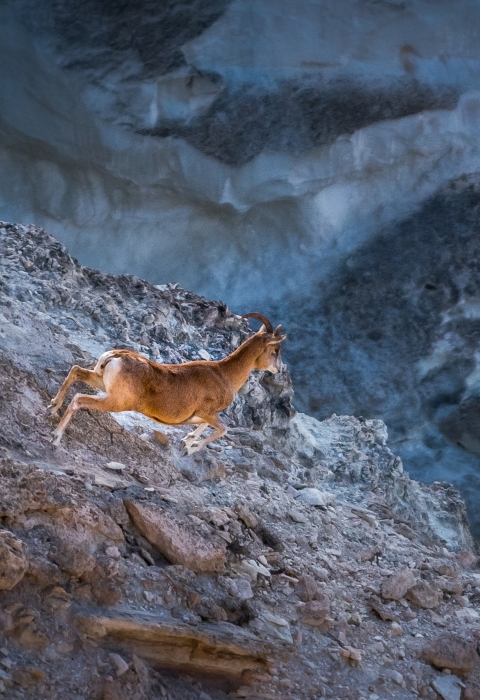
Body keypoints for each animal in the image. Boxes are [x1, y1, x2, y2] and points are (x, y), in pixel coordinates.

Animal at [49, 313, 286, 455]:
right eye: (275, 350)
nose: (279, 369)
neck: (224, 374)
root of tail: (116, 356)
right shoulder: (209, 413)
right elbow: (223, 429)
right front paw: (190, 448)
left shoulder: (204, 415)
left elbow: (204, 425)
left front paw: (187, 440)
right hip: (116, 402)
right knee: (79, 399)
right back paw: (56, 438)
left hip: (100, 383)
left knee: (76, 372)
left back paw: (52, 407)